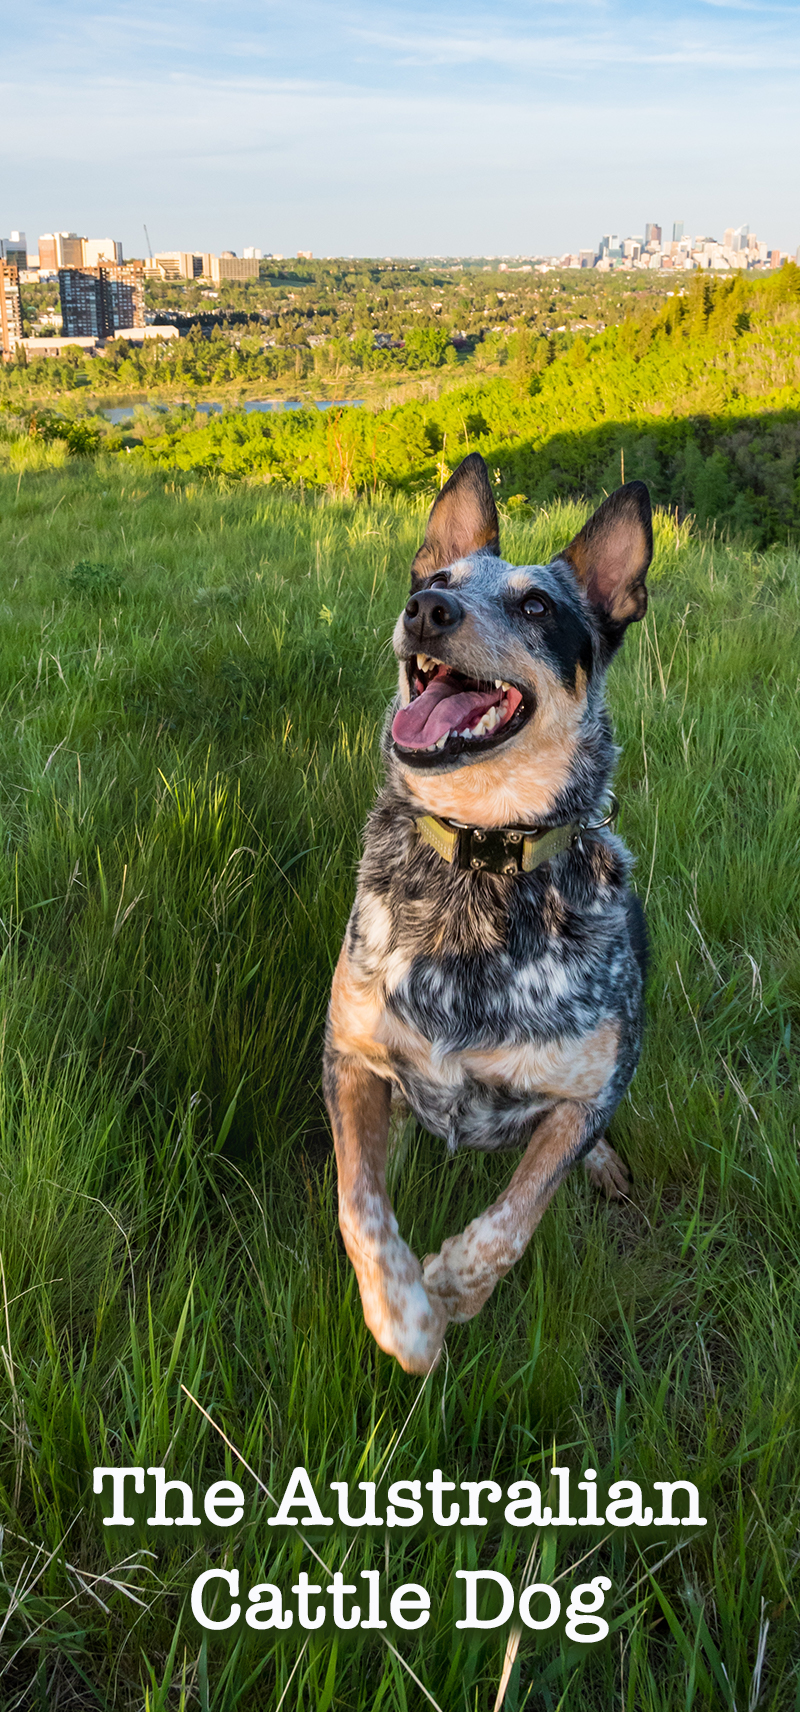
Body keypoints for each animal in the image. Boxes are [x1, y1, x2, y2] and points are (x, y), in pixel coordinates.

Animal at [322, 448, 654, 1369]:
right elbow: (359, 1202)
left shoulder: (589, 1090)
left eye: (538, 605)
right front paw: (404, 1314)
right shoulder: (349, 1055)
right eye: (437, 577)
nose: (426, 610)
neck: (479, 860)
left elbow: (517, 1214)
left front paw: (451, 1286)